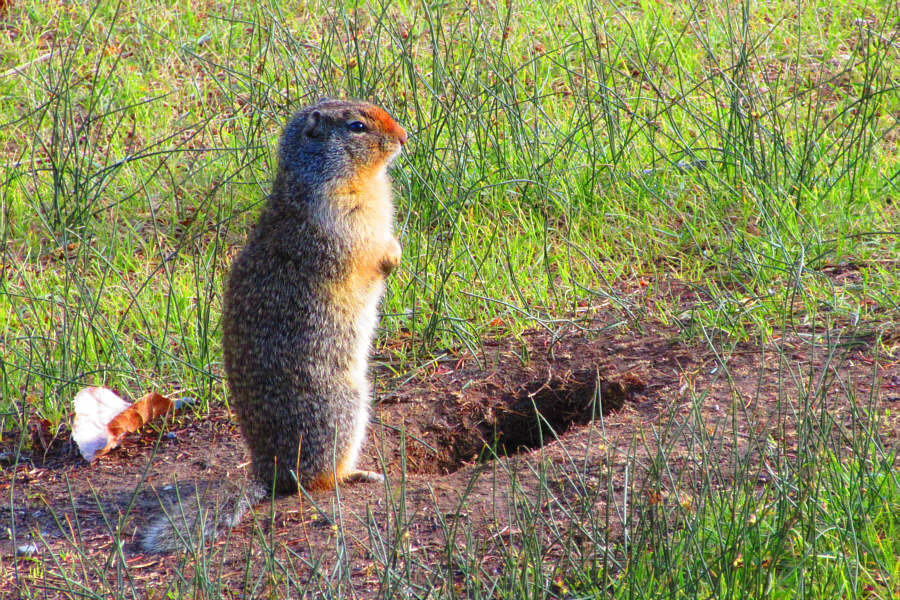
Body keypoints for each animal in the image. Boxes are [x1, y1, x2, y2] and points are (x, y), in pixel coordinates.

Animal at [139, 98, 406, 552]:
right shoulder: (339, 219)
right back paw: (356, 474)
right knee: (311, 481)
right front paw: (392, 258)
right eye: (357, 127)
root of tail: (267, 470)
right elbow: (365, 251)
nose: (404, 136)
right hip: (341, 408)